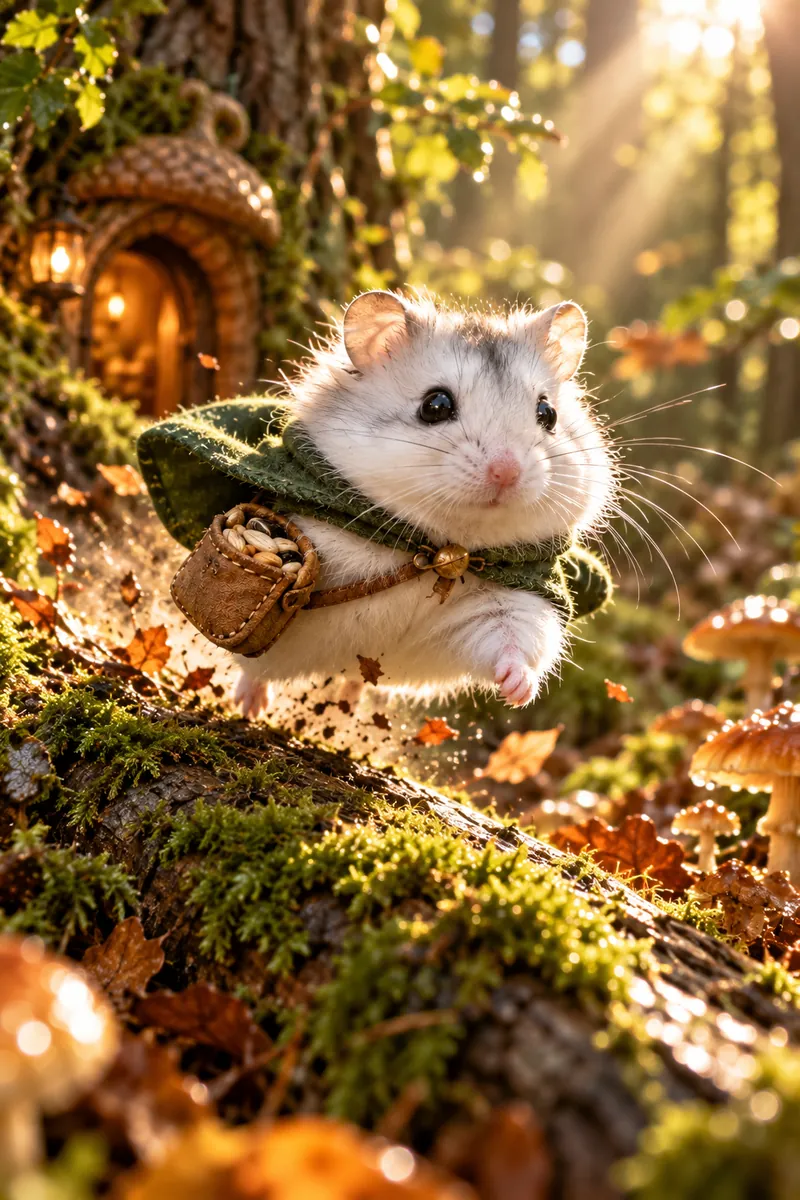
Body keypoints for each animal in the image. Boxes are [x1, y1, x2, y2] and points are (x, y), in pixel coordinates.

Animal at [234, 290, 614, 717]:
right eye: (436, 405)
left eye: (547, 414)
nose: (507, 472)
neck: (440, 549)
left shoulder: (511, 605)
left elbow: (517, 641)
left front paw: (517, 693)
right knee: (254, 671)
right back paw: (248, 705)